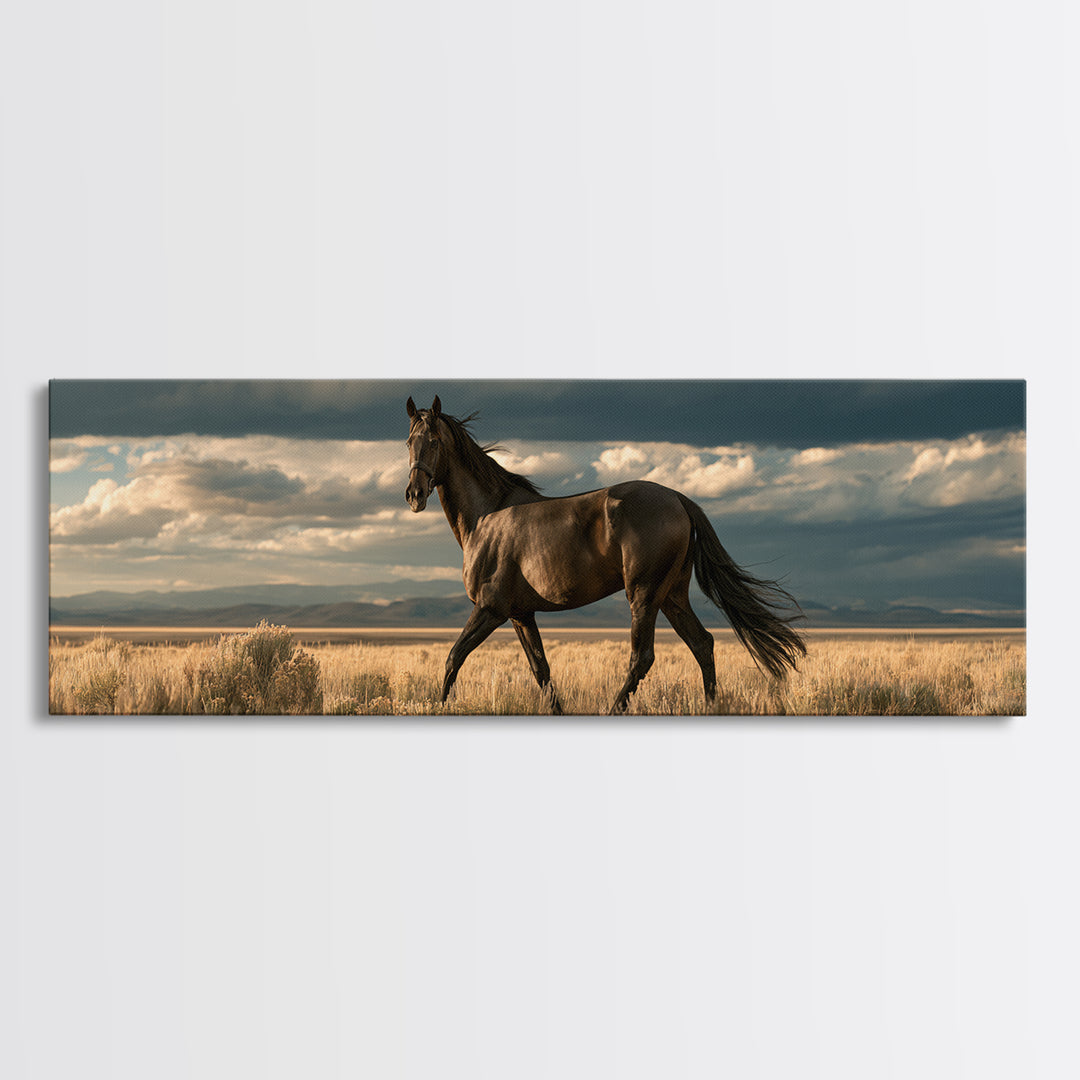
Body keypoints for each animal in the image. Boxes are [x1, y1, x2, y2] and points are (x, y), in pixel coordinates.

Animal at [404, 395, 806, 714]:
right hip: (672, 595)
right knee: (702, 644)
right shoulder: (520, 614)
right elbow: (541, 671)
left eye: (434, 441)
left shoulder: (490, 609)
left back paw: (617, 708)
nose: (414, 494)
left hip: (643, 595)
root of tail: (678, 498)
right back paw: (710, 706)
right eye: (409, 442)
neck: (487, 515)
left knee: (642, 658)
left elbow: (453, 658)